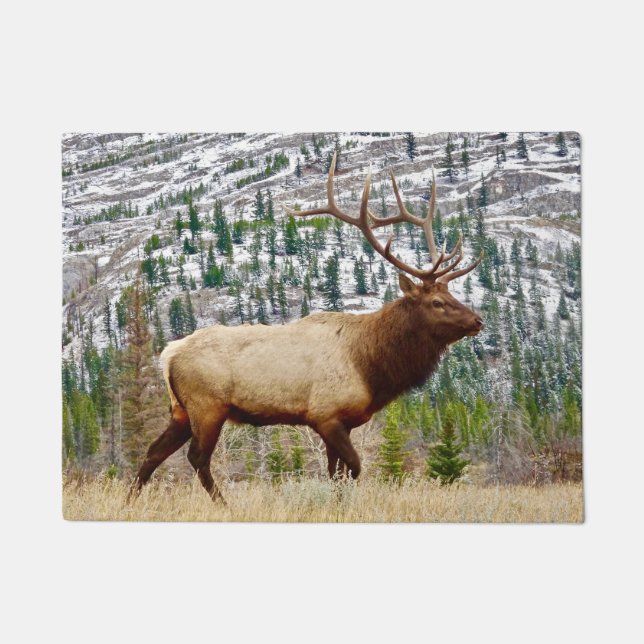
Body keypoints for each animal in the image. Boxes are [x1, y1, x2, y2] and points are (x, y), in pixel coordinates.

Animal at [130, 152, 483, 501]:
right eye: (436, 302)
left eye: (451, 293)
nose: (477, 320)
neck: (370, 366)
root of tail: (168, 354)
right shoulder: (325, 415)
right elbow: (353, 468)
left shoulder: (344, 422)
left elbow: (337, 474)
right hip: (208, 406)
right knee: (197, 458)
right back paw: (224, 505)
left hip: (181, 411)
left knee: (152, 452)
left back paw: (131, 499)